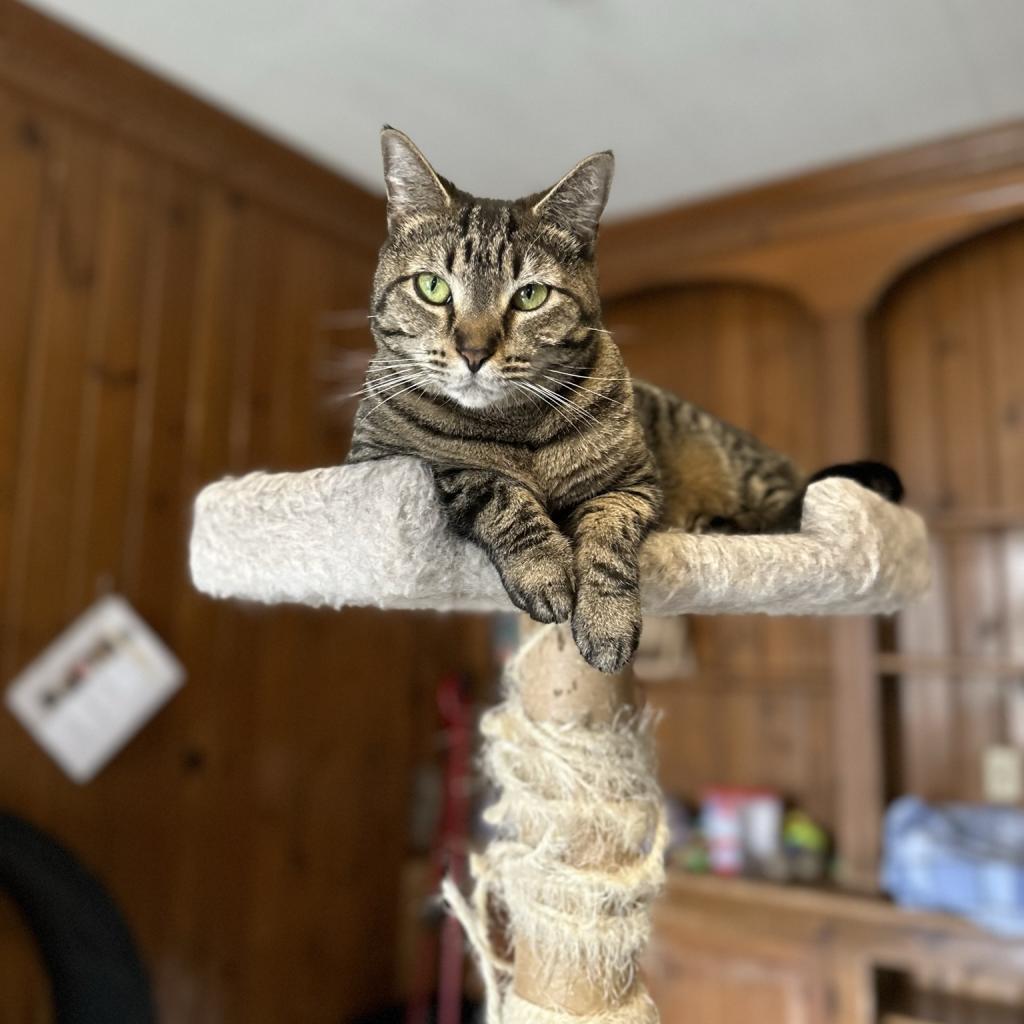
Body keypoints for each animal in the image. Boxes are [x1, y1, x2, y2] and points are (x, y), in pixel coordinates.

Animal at [346, 125, 905, 671]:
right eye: (432, 287)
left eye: (530, 296)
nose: (474, 351)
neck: (515, 426)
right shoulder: (383, 463)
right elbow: (489, 485)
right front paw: (545, 570)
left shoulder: (632, 485)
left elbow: (606, 539)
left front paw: (606, 621)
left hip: (742, 467)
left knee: (790, 507)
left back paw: (722, 522)